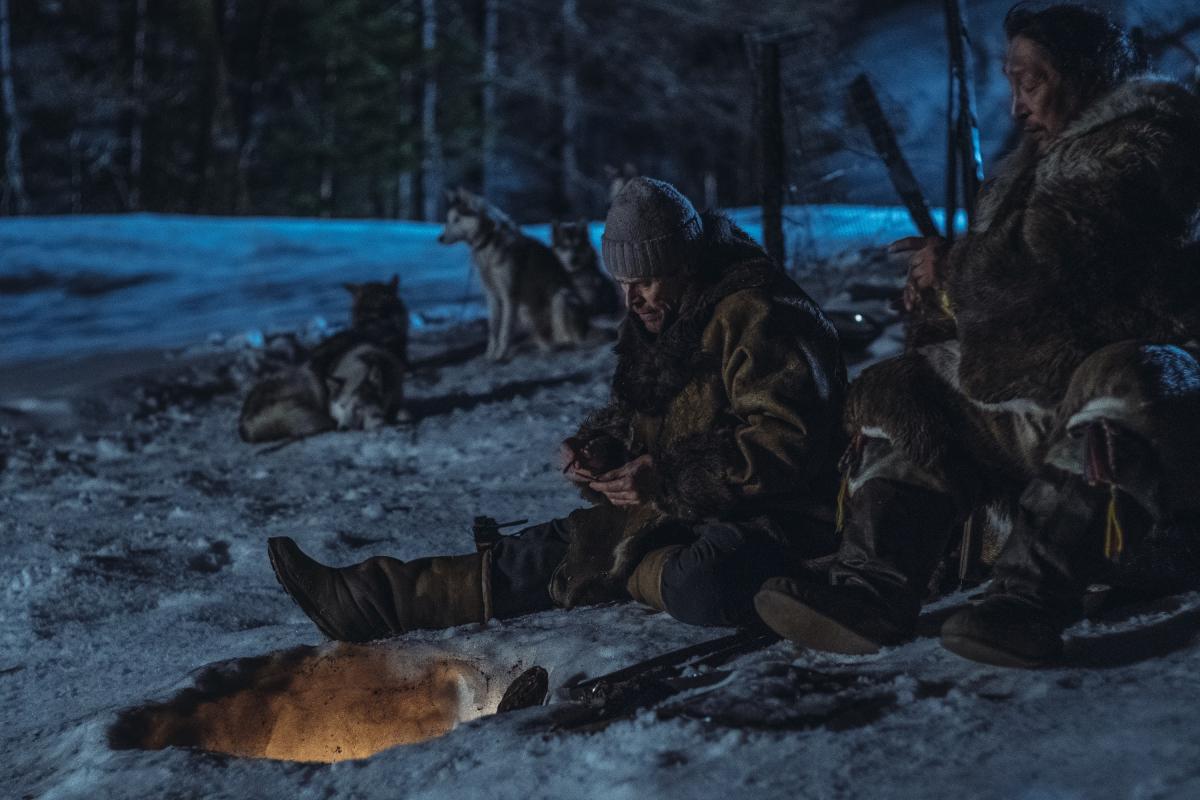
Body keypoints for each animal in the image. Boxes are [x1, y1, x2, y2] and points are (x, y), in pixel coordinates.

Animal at [441, 185, 590, 362]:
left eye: (456, 219)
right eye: (448, 220)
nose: (439, 238)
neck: (488, 243)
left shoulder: (509, 296)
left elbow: (505, 332)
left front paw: (500, 355)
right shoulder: (492, 295)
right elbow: (493, 329)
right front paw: (490, 355)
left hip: (561, 297)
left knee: (567, 336)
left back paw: (562, 345)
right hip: (526, 311)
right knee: (544, 337)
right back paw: (545, 347)